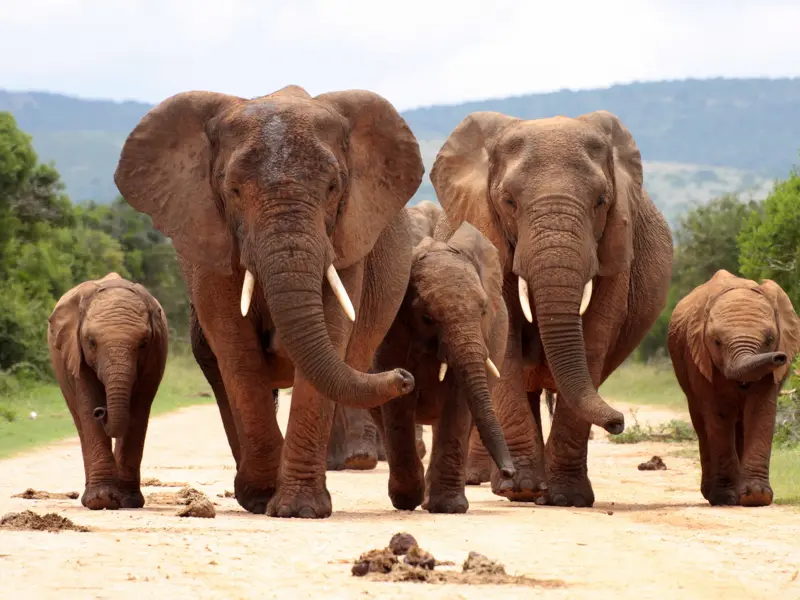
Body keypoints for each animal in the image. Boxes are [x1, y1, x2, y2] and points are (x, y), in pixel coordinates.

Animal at [47, 272, 168, 510]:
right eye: (92, 342)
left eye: (143, 343)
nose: (101, 411)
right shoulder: (75, 351)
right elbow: (87, 404)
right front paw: (101, 500)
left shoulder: (155, 354)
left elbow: (139, 411)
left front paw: (128, 501)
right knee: (80, 420)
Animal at [114, 85, 424, 518]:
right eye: (233, 191)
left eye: (333, 188)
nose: (405, 377)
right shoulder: (209, 240)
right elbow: (236, 349)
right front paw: (262, 498)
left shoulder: (347, 238)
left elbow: (331, 334)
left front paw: (299, 509)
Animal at [372, 218, 515, 513]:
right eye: (427, 318)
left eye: (484, 311)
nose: (509, 473)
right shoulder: (391, 332)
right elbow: (398, 400)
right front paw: (408, 500)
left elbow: (458, 401)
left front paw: (448, 507)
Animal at [430, 109, 673, 507]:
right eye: (509, 202)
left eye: (601, 201)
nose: (619, 422)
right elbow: (506, 337)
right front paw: (523, 490)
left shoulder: (615, 248)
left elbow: (595, 336)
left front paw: (567, 498)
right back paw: (514, 486)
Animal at [668, 269, 800, 507]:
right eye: (717, 342)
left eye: (770, 339)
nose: (780, 357)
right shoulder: (699, 358)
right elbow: (718, 415)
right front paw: (725, 498)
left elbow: (761, 410)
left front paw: (756, 497)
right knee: (702, 424)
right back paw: (714, 494)